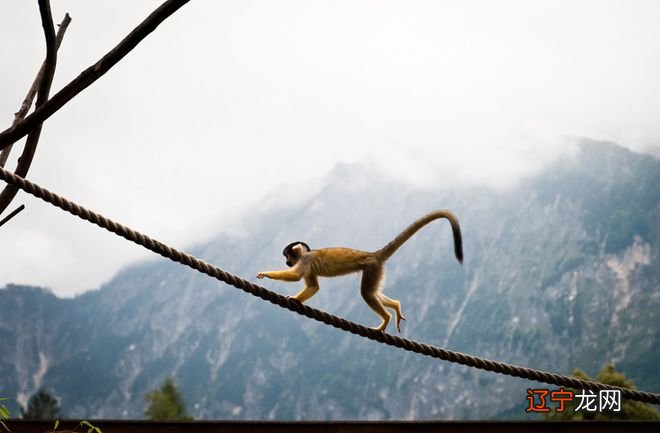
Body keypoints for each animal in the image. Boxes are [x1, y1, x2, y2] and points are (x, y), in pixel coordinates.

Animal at [255, 211, 462, 332]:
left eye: (287, 256)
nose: (287, 262)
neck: (305, 254)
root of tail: (374, 254)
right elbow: (313, 287)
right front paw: (297, 299)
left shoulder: (306, 260)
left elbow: (297, 276)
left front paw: (267, 274)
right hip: (377, 270)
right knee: (373, 292)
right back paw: (395, 307)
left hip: (371, 268)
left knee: (367, 293)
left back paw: (386, 319)